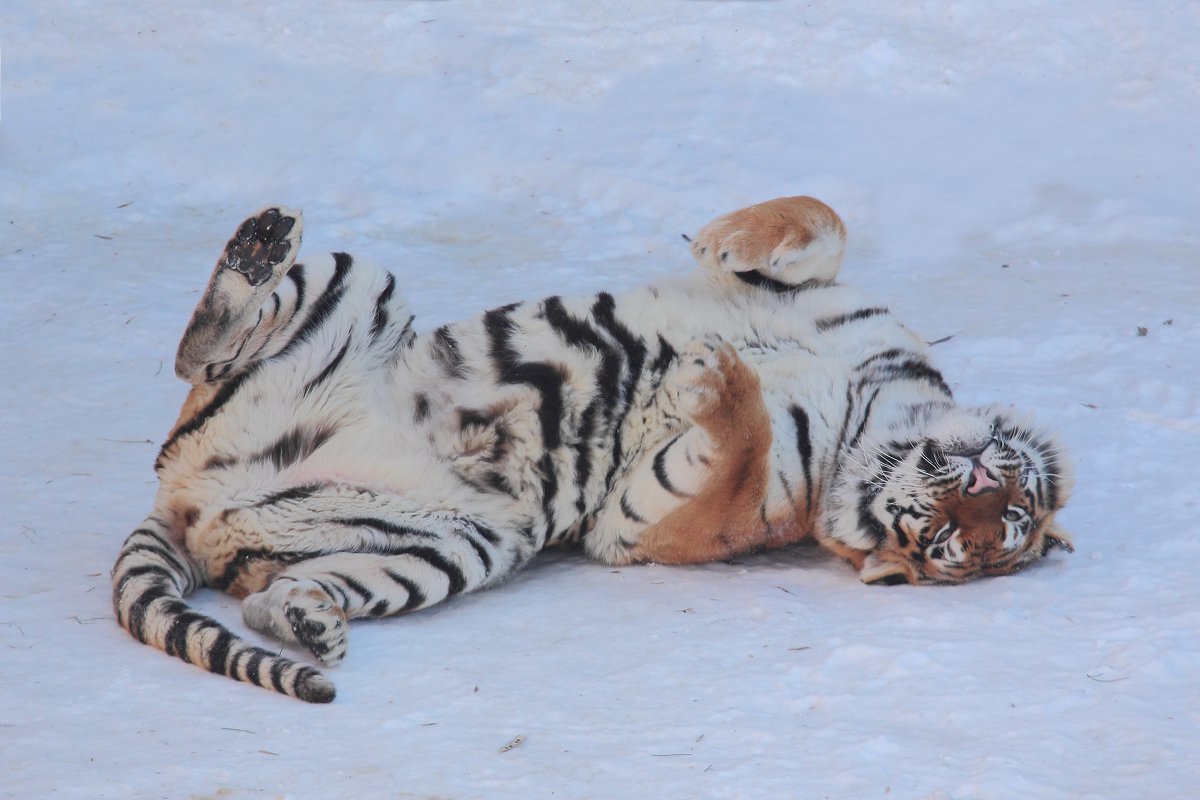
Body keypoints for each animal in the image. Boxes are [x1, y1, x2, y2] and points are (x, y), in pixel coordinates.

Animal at [110, 196, 1070, 705]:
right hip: (360, 284)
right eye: (979, 512)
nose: (978, 476)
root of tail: (183, 502)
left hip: (453, 547)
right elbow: (822, 223)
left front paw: (721, 384)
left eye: (966, 539)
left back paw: (309, 622)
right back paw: (258, 247)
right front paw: (728, 241)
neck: (867, 411)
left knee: (276, 595)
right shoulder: (840, 304)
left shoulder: (639, 522)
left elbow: (741, 452)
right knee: (200, 352)